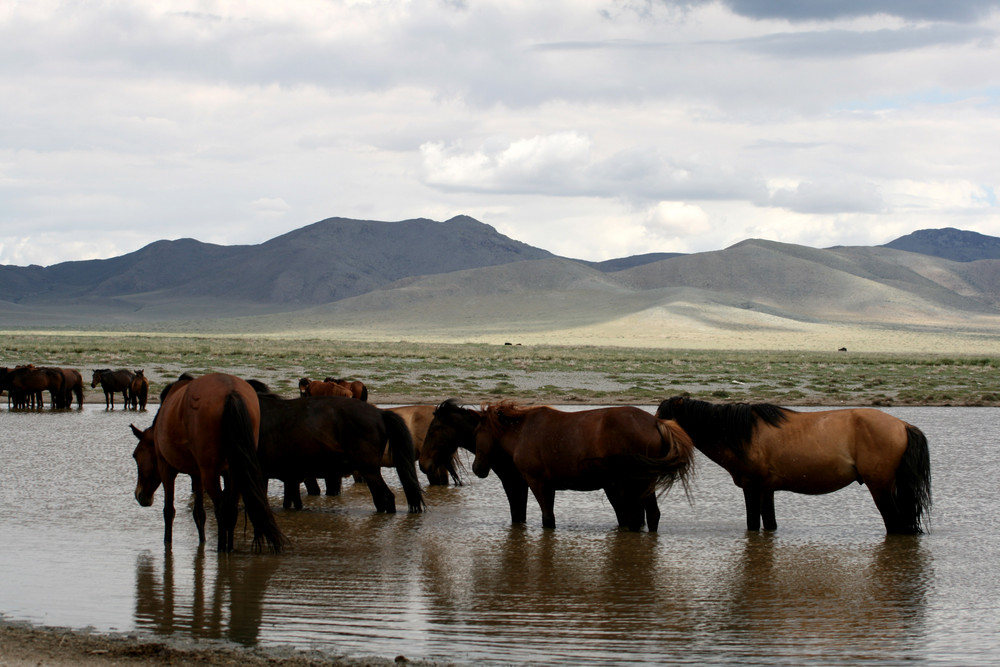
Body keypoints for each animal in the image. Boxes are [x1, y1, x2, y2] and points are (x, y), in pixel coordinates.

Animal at [129, 376, 286, 552]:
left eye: (135, 455)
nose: (139, 495)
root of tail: (231, 391)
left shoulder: (166, 468)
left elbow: (169, 511)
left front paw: (167, 543)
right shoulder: (197, 474)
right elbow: (199, 513)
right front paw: (202, 543)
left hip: (210, 474)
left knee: (222, 510)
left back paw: (221, 549)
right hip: (235, 472)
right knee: (231, 510)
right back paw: (229, 549)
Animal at [252, 378, 424, 516]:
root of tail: (380, 414)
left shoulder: (267, 473)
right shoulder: (289, 476)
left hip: (369, 470)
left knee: (386, 498)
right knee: (380, 499)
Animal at [656, 396, 928, 536]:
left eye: (665, 418)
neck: (743, 434)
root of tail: (903, 425)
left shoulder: (752, 488)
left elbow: (752, 524)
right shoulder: (767, 490)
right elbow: (769, 524)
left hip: (880, 487)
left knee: (894, 524)